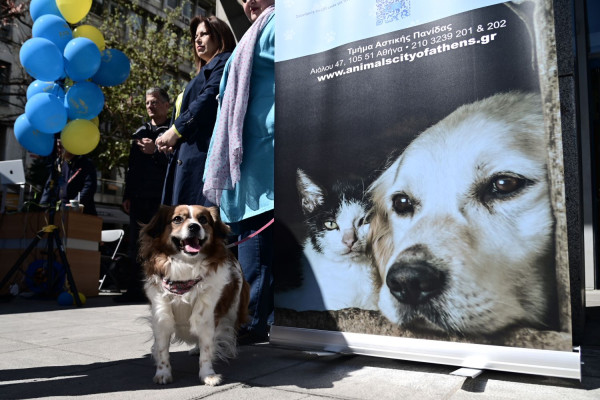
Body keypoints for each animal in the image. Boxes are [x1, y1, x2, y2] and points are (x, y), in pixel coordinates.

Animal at [138, 205, 248, 386]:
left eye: (203, 219)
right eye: (177, 219)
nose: (194, 226)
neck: (185, 267)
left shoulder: (206, 314)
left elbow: (207, 348)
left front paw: (208, 375)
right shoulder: (162, 315)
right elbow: (162, 349)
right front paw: (163, 373)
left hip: (233, 309)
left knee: (230, 330)